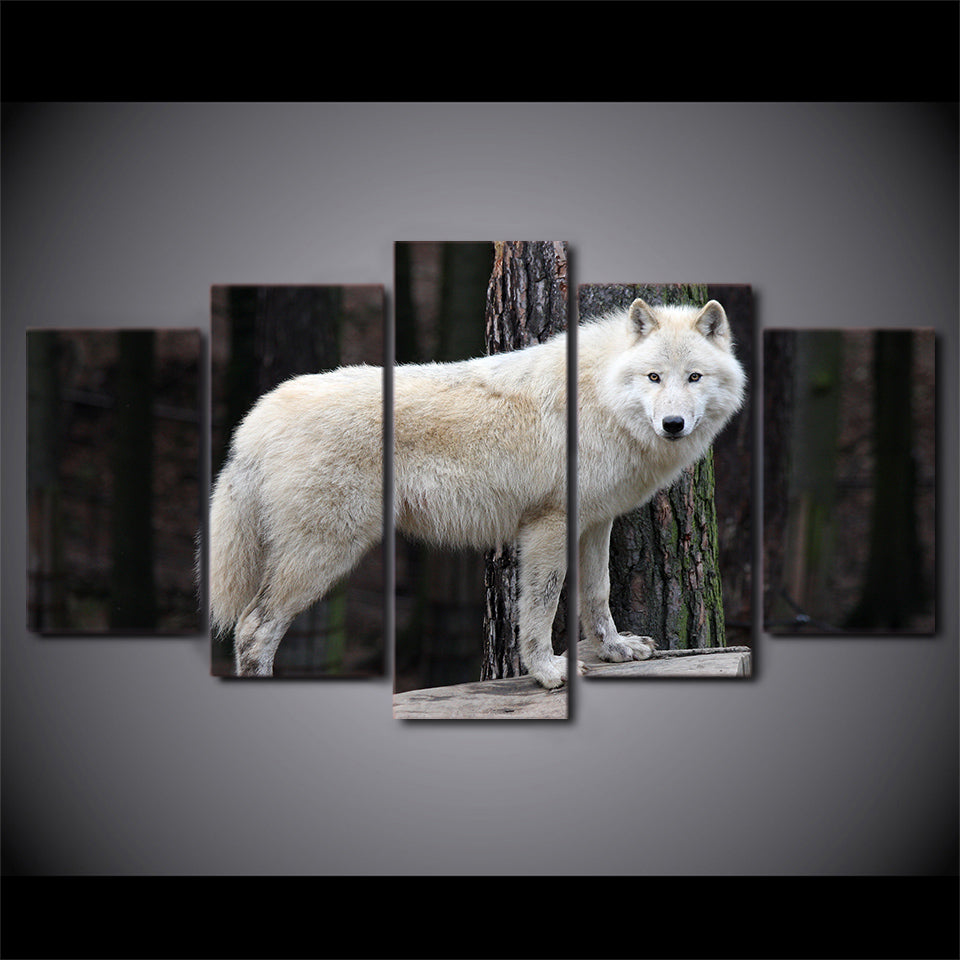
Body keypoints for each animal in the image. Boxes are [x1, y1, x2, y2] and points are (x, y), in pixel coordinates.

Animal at [208, 297, 746, 687]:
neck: (601, 397)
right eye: (653, 377)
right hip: (324, 554)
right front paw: (548, 673)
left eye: (694, 377)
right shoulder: (547, 526)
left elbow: (598, 593)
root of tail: (257, 417)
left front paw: (615, 651)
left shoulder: (595, 521)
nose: (672, 424)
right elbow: (541, 607)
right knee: (254, 629)